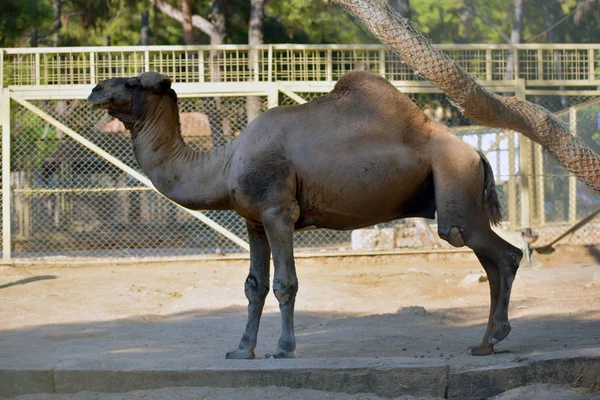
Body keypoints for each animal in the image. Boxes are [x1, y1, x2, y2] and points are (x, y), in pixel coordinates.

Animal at [86, 69, 524, 360]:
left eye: (131, 83)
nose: (94, 89)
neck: (225, 164)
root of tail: (477, 153)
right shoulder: (253, 220)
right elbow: (253, 286)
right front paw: (241, 350)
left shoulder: (278, 210)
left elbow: (285, 284)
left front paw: (283, 348)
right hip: (465, 203)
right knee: (492, 261)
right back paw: (483, 344)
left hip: (455, 194)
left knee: (504, 254)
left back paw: (497, 335)